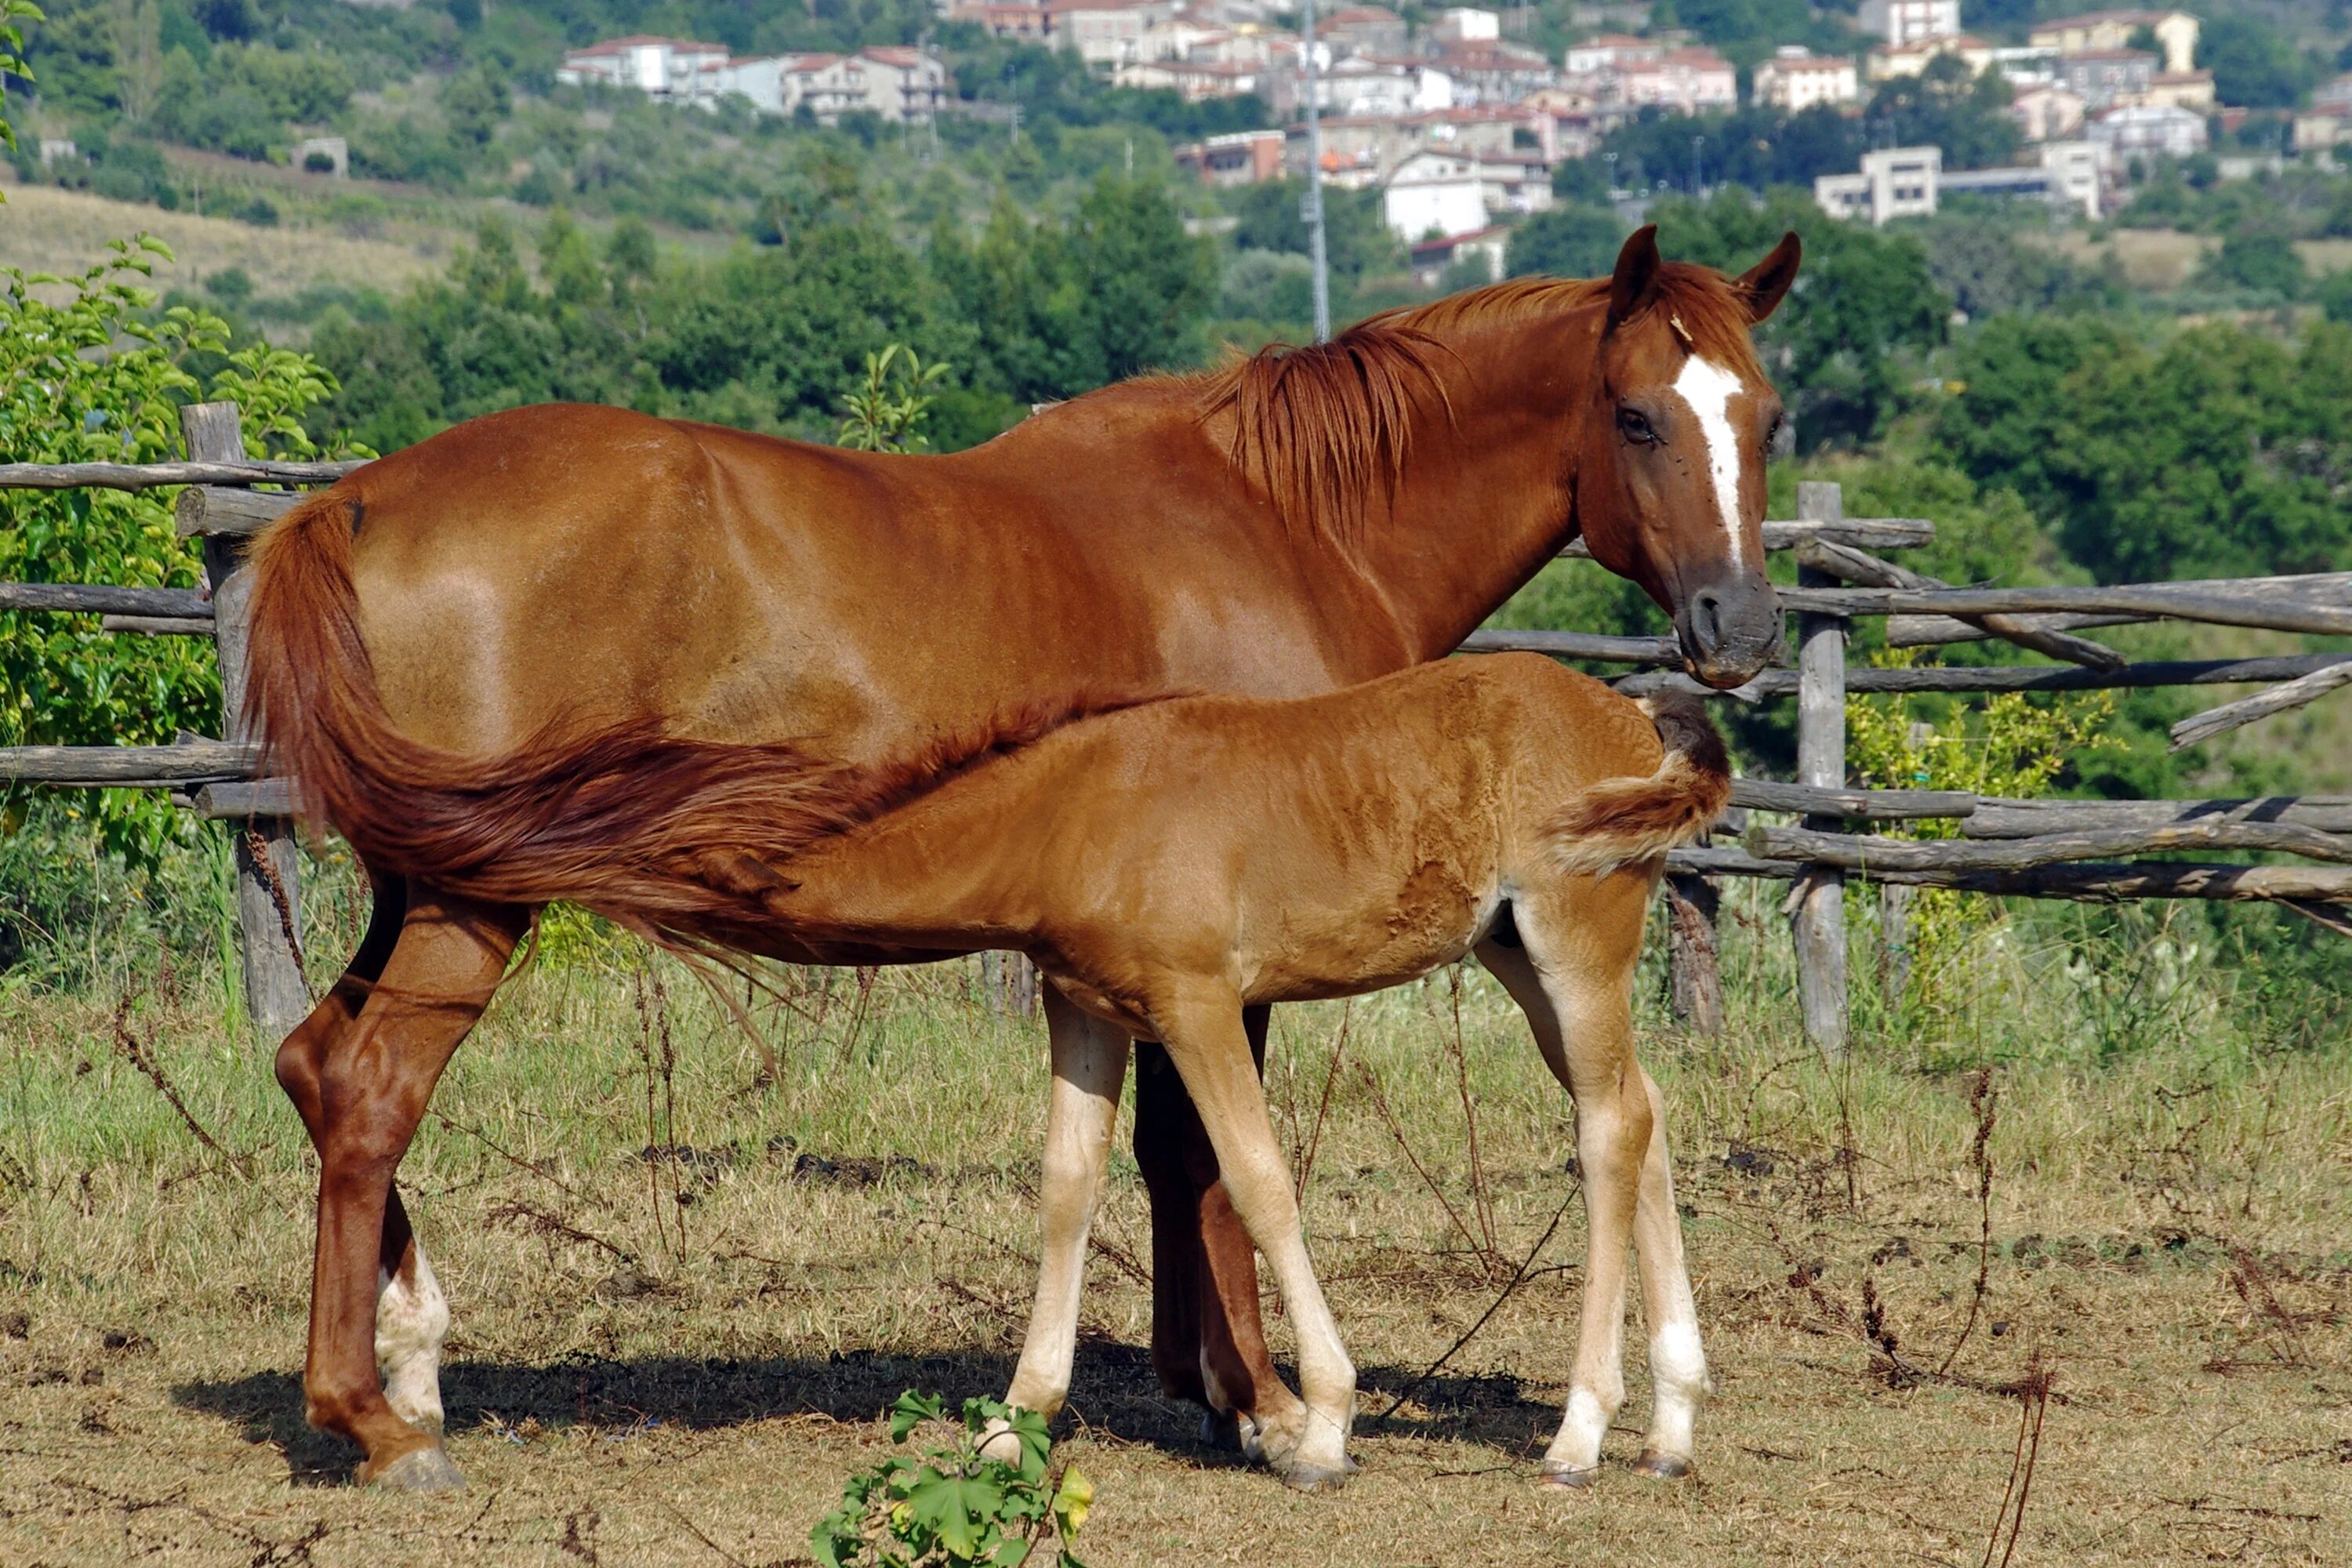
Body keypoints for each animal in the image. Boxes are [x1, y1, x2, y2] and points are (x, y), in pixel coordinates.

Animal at [696, 658, 1731, 1495]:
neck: (1075, 810)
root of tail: (1631, 709)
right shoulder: (1081, 1008)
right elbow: (1067, 1188)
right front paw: (1014, 1421)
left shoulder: (1198, 1006)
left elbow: (1257, 1180)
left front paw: (1322, 1427)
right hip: (1515, 955)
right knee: (1643, 1109)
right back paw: (1671, 1428)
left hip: (1574, 952)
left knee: (1607, 1132)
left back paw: (1580, 1433)